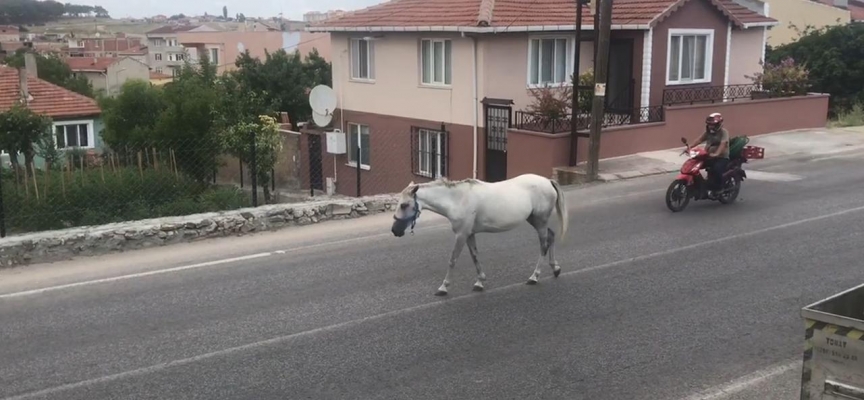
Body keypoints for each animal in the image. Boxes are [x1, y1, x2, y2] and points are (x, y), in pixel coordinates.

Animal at [390, 173, 568, 296]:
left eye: (404, 205)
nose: (394, 230)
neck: (457, 200)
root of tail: (548, 181)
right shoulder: (469, 234)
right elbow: (475, 256)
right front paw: (479, 282)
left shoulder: (461, 235)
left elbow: (452, 260)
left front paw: (443, 287)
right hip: (535, 221)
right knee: (551, 236)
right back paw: (555, 268)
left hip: (540, 222)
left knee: (543, 245)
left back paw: (534, 277)